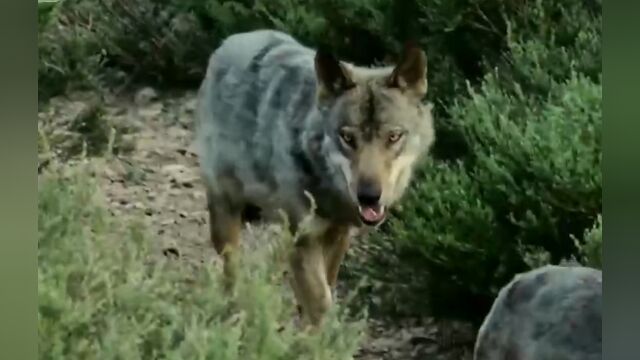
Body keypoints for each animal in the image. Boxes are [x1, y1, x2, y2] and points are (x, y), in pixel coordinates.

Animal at [195, 29, 436, 328]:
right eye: (347, 137)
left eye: (393, 136)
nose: (369, 195)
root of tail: (232, 39)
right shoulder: (305, 238)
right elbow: (321, 302)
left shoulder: (338, 233)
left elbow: (326, 287)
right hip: (227, 214)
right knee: (232, 267)